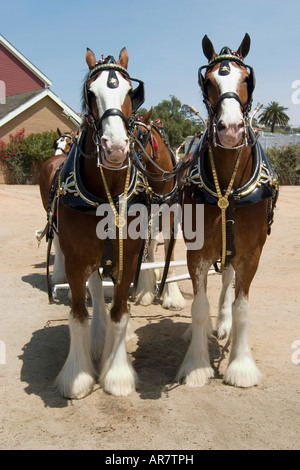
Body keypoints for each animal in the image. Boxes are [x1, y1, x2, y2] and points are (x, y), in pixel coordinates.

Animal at [178, 34, 278, 390]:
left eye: (246, 79)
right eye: (208, 81)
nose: (231, 129)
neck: (228, 188)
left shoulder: (252, 252)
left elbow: (241, 306)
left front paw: (240, 364)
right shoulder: (195, 251)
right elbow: (198, 305)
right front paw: (196, 364)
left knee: (227, 283)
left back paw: (224, 325)